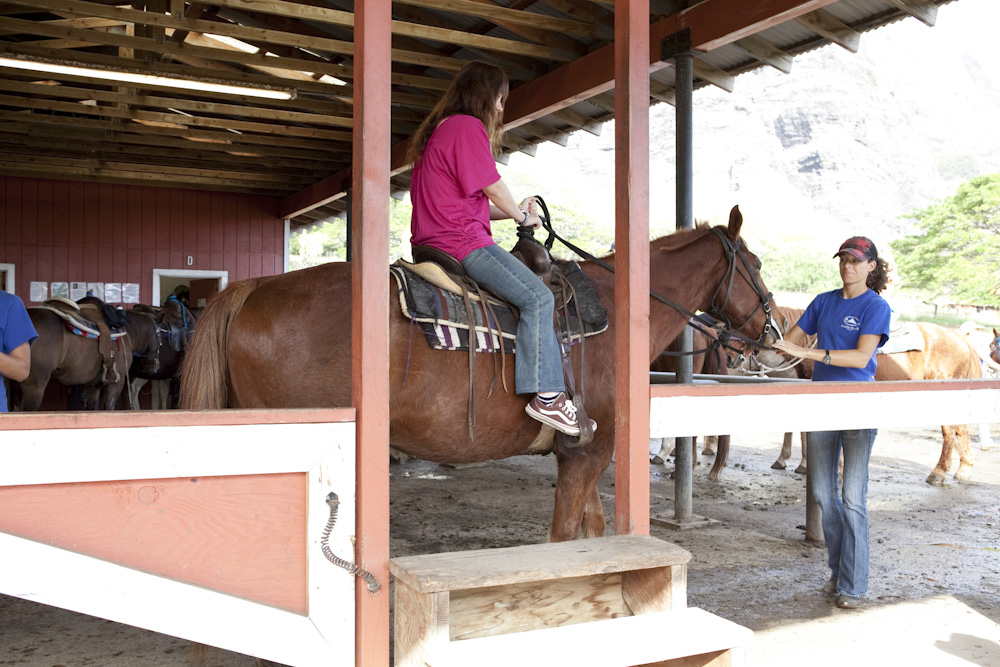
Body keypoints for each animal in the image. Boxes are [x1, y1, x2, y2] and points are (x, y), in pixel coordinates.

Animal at [182, 205, 780, 544]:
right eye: (754, 264)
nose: (772, 331)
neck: (618, 309)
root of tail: (253, 288)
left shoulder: (581, 451)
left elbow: (590, 531)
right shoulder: (590, 450)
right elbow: (563, 536)